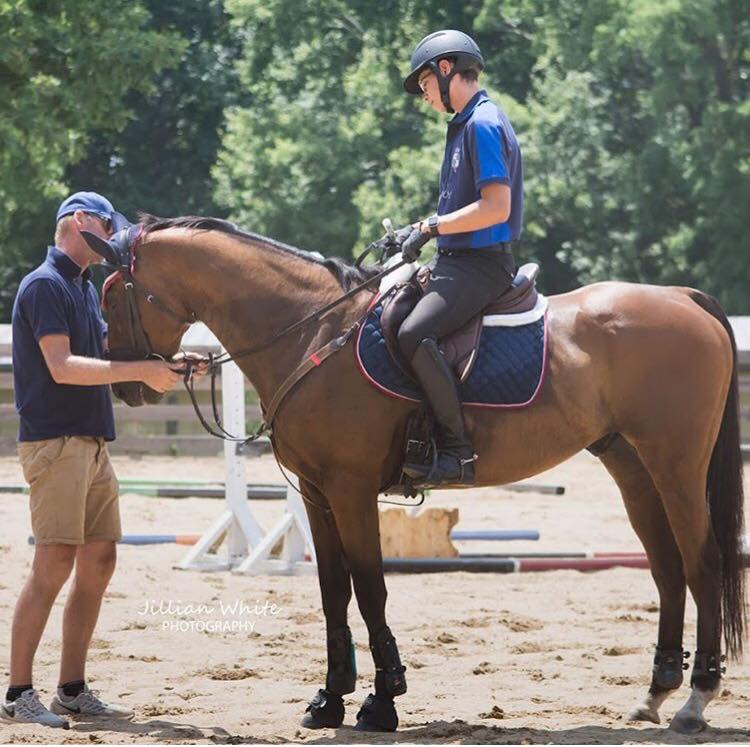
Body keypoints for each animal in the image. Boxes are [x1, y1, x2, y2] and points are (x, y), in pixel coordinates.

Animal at [83, 216, 748, 736]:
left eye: (112, 291)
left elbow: (370, 587)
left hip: (676, 465)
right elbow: (332, 590)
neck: (312, 328)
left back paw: (695, 700)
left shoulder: (351, 490)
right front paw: (329, 698)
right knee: (666, 568)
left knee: (702, 564)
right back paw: (654, 694)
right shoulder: (317, 493)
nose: (126, 386)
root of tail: (683, 297)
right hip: (632, 467)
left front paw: (382, 701)